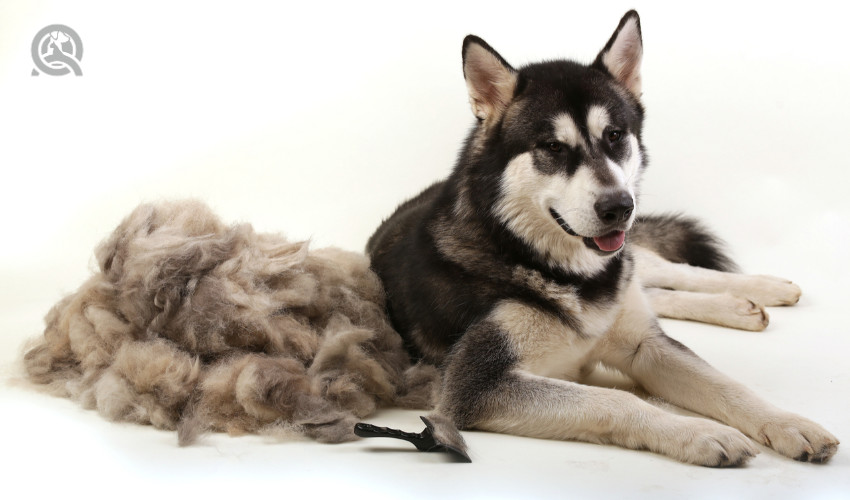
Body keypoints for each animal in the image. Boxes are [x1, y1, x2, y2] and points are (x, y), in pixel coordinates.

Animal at [364, 10, 836, 464]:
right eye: (553, 147)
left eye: (614, 135)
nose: (619, 208)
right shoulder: (474, 386)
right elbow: (617, 401)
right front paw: (702, 434)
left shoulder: (645, 344)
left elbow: (727, 385)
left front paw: (790, 424)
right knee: (657, 290)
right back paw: (739, 306)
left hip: (632, 265)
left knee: (670, 270)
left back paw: (761, 290)